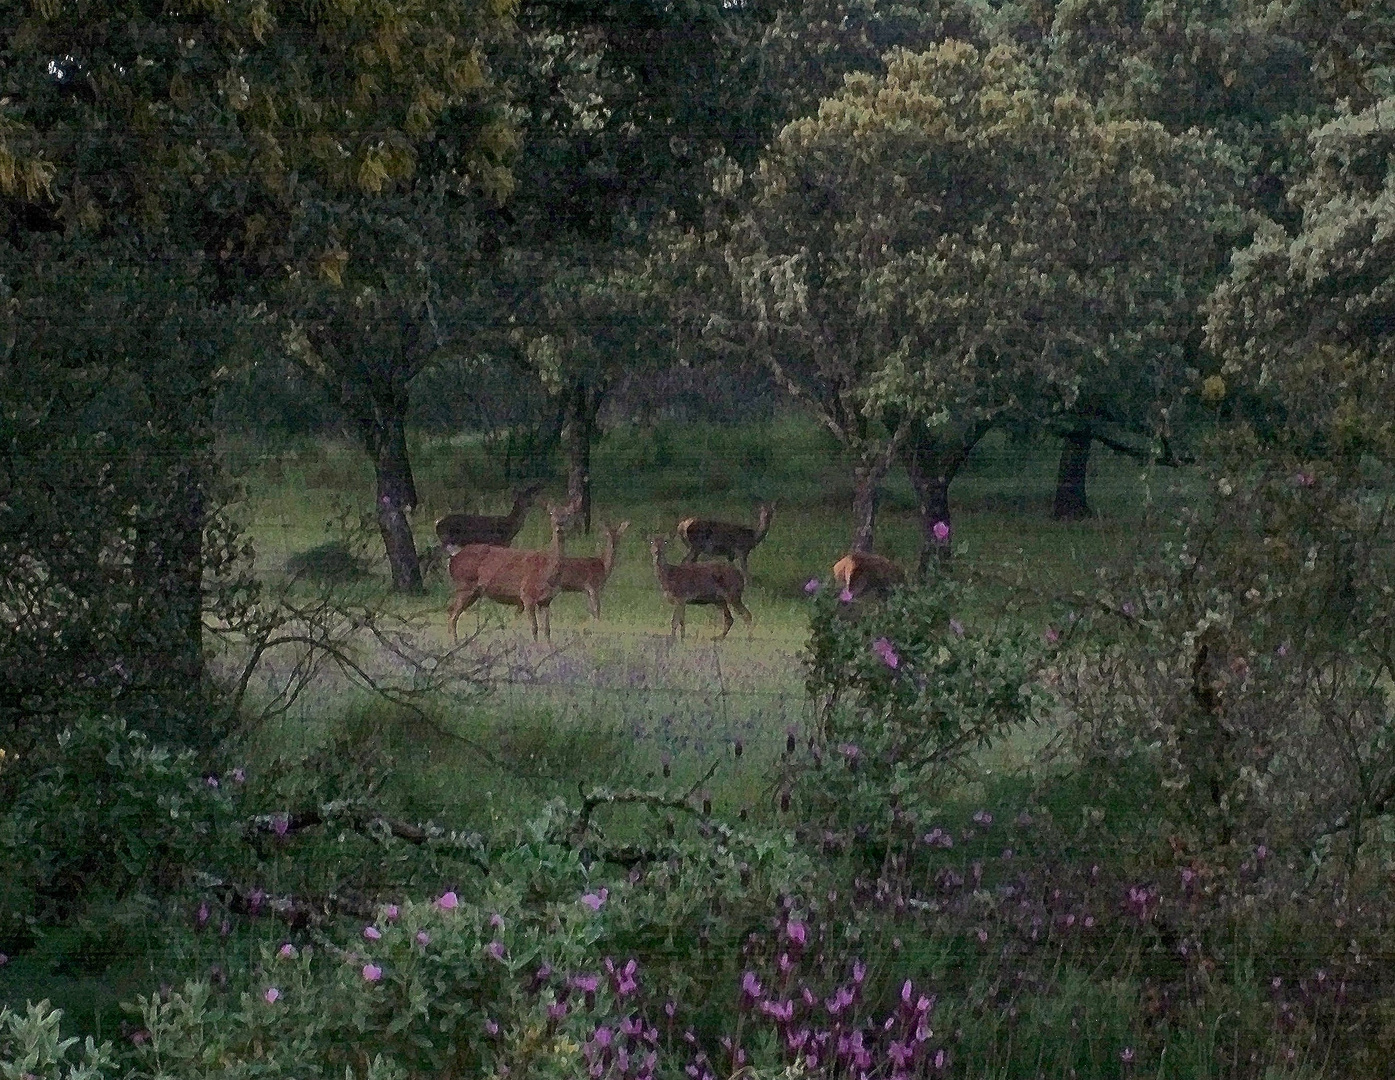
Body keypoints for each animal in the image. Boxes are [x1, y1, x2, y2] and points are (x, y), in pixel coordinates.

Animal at [446, 499, 577, 641]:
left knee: (451, 611)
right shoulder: (527, 595)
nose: (560, 525)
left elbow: (547, 629)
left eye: (569, 514)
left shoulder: (546, 601)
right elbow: (534, 628)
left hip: (473, 591)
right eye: (551, 513)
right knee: (453, 615)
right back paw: (455, 642)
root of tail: (454, 558)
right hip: (465, 584)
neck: (548, 571)